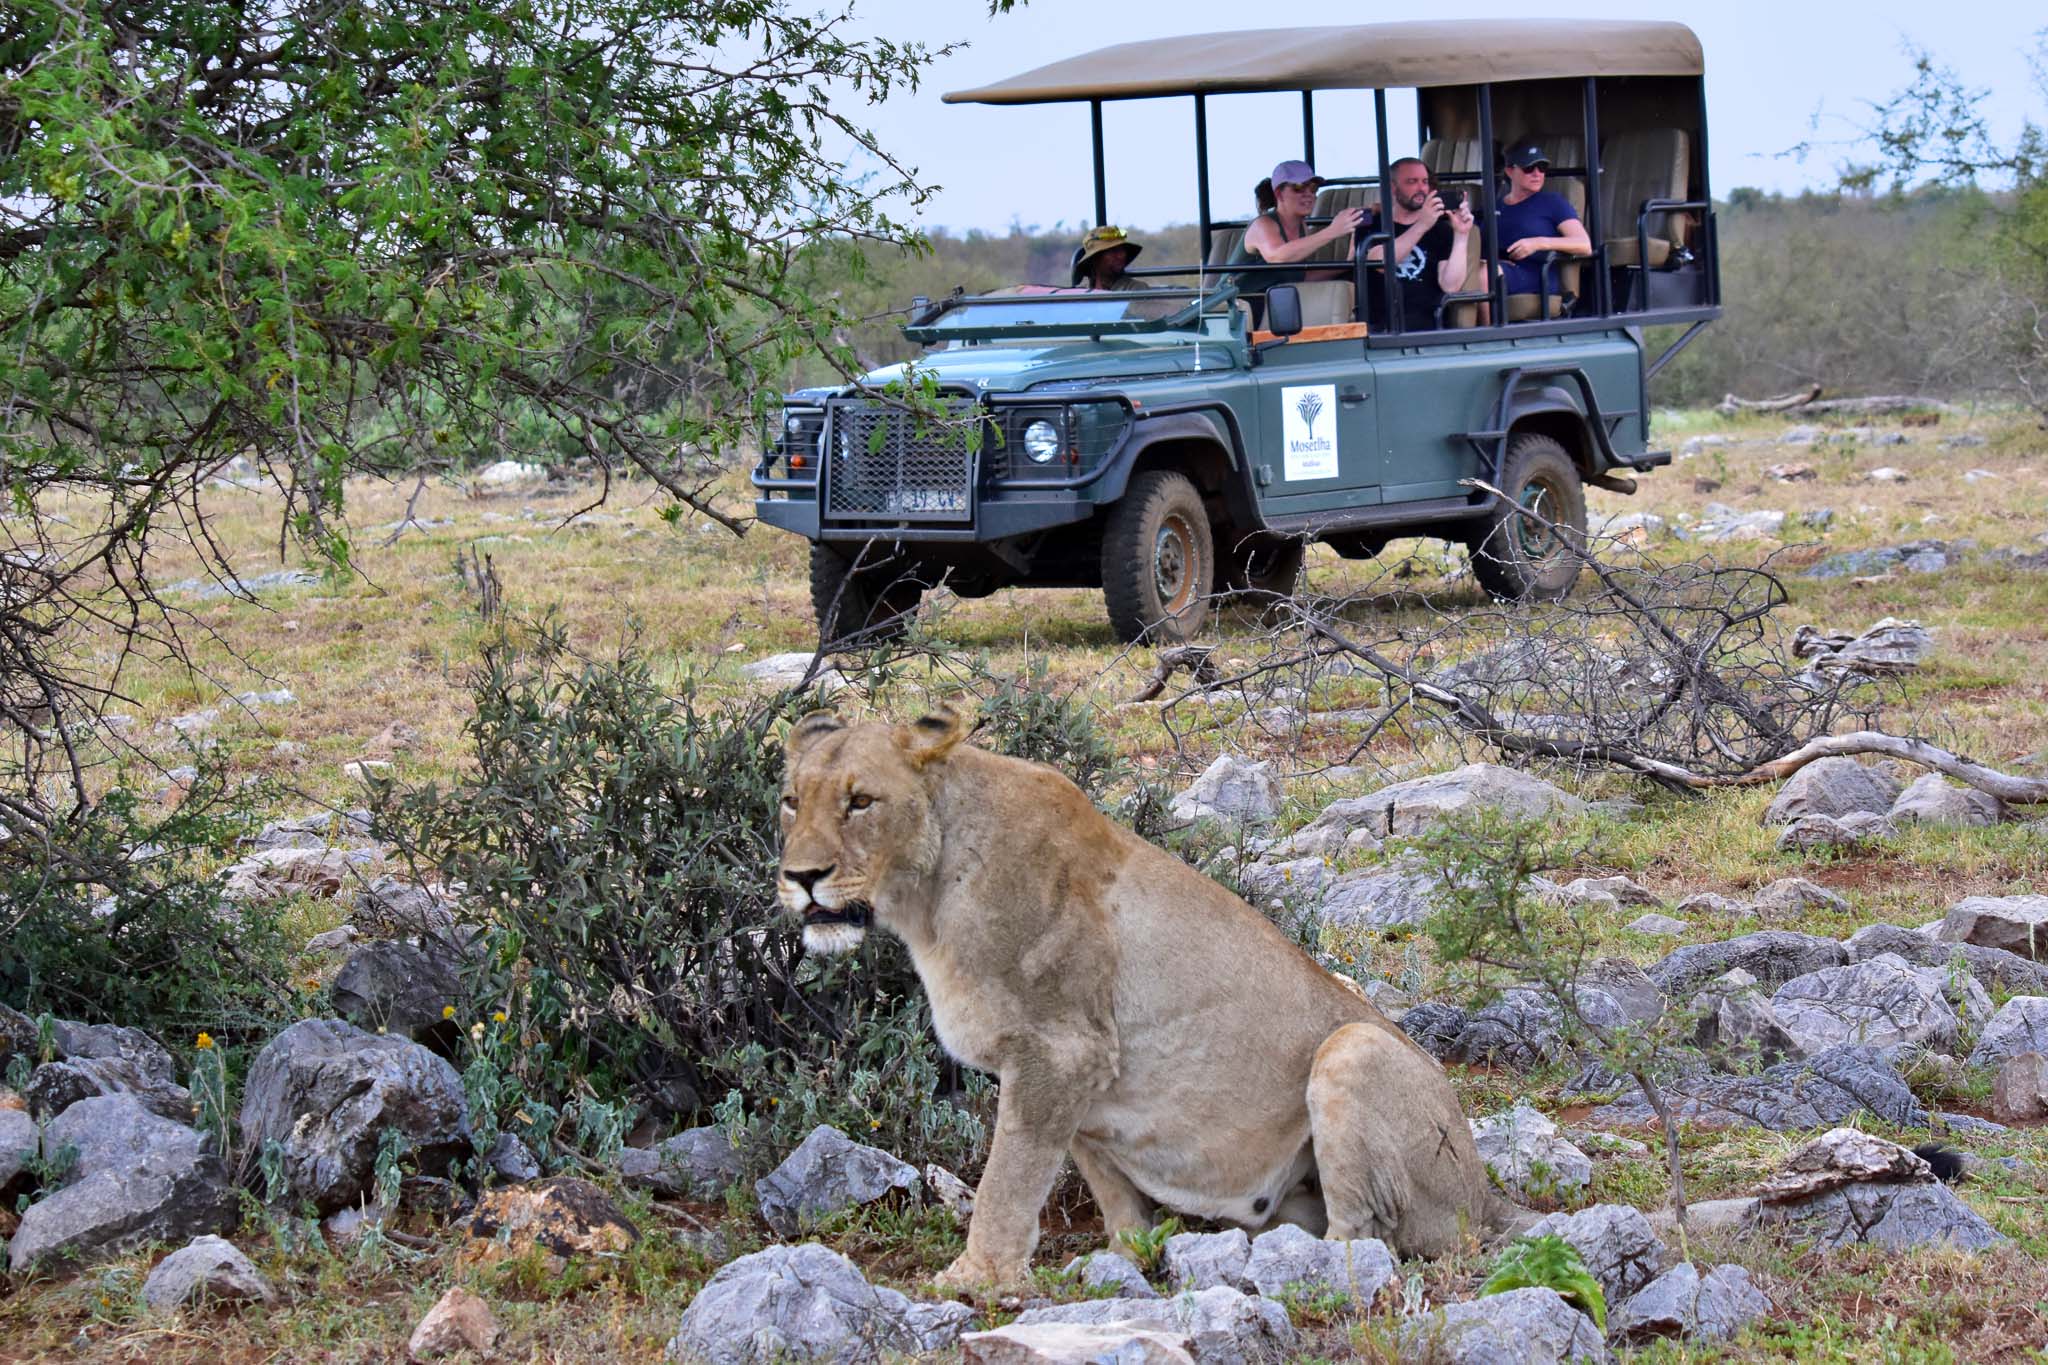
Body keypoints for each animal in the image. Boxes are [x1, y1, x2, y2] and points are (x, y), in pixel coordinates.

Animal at [776, 706, 1525, 1290]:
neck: (925, 903)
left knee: (1366, 1242)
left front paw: (975, 1278)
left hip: (1357, 1045)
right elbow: (1106, 1187)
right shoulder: (1080, 1074)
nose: (801, 876)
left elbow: (1008, 1179)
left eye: (861, 801)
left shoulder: (1060, 1048)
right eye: (791, 800)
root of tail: (1488, 1195)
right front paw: (1123, 1256)